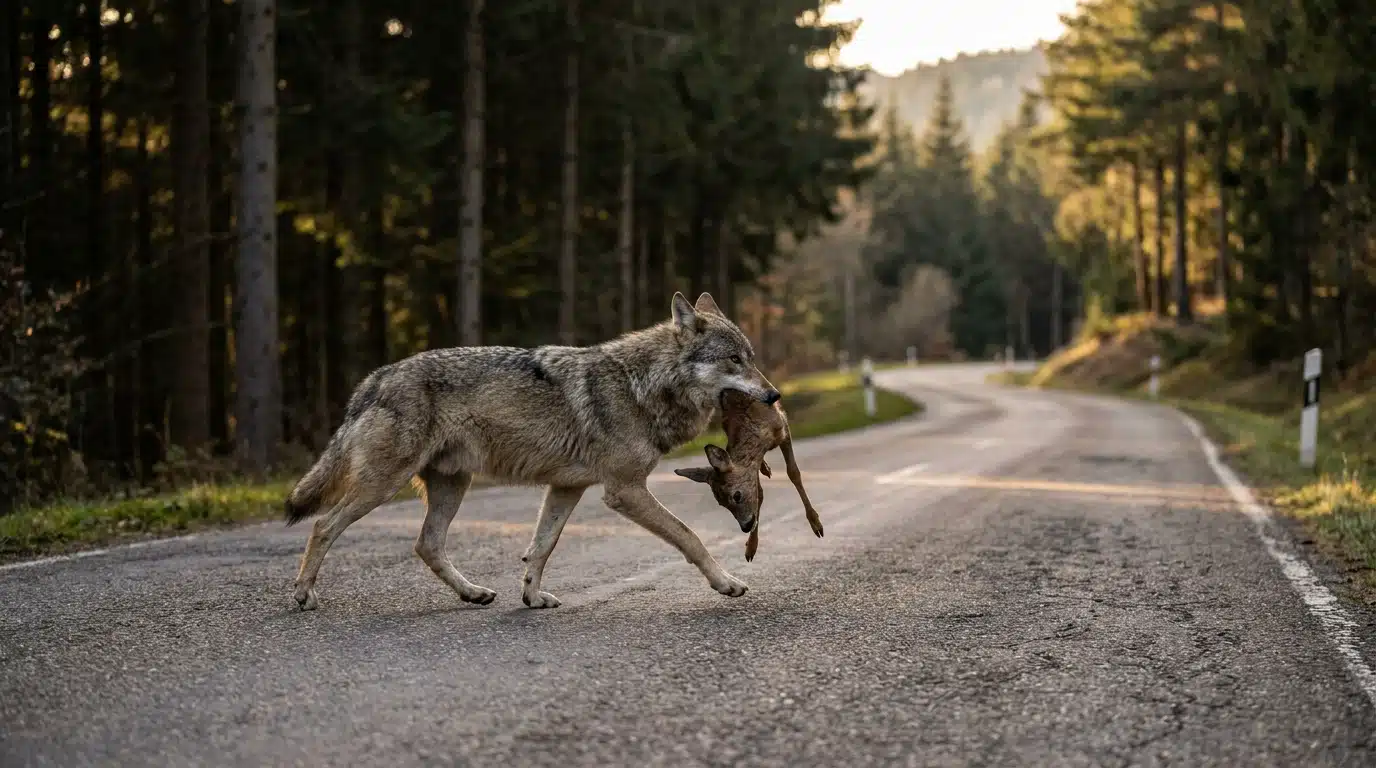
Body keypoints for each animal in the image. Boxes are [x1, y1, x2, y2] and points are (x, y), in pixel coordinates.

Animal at [283, 292, 780, 611]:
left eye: (752, 358)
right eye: (735, 360)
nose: (774, 395)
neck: (642, 387)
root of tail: (375, 379)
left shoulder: (566, 488)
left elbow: (541, 547)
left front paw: (532, 597)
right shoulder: (624, 490)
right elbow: (689, 536)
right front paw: (727, 583)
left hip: (453, 486)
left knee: (427, 544)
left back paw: (473, 593)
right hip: (385, 485)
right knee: (323, 525)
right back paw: (304, 595)